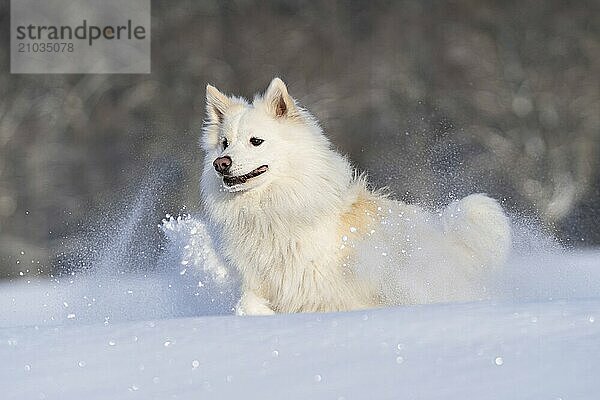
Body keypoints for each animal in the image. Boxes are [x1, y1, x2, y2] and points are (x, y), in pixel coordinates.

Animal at [200, 78, 510, 316]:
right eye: (224, 143)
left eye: (256, 141)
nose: (221, 163)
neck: (274, 209)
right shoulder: (261, 282)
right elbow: (248, 303)